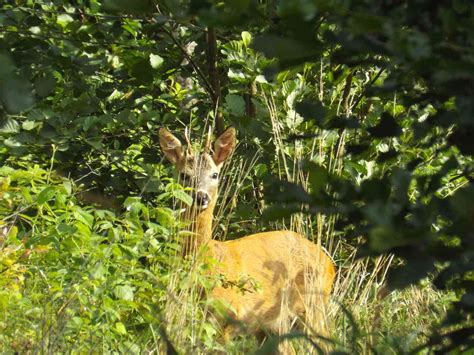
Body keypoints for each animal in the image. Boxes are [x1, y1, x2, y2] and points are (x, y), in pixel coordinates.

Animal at [157, 127, 336, 340]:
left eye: (215, 175)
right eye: (184, 174)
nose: (201, 197)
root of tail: (329, 262)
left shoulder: (231, 316)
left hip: (313, 305)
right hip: (273, 325)